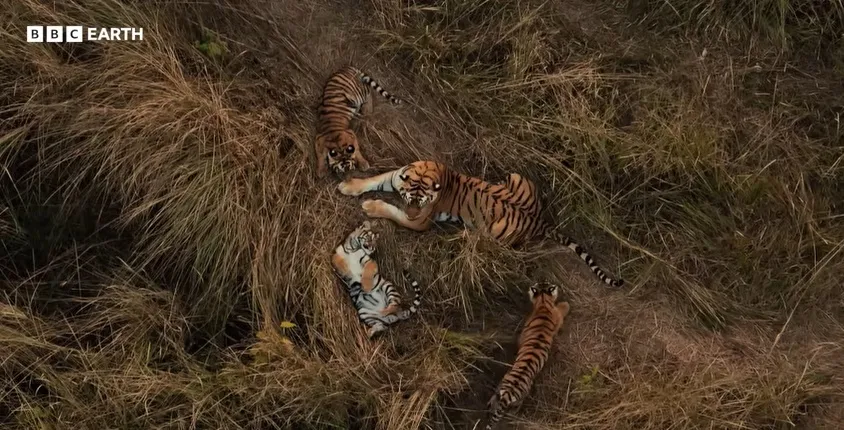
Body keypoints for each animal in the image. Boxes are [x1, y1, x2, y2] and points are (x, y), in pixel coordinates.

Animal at [336, 160, 624, 287]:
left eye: (419, 204)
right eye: (409, 198)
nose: (412, 212)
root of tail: (540, 221)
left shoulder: (420, 221)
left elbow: (392, 211)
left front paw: (370, 206)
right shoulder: (396, 177)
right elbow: (374, 180)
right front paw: (350, 186)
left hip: (495, 229)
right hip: (516, 176)